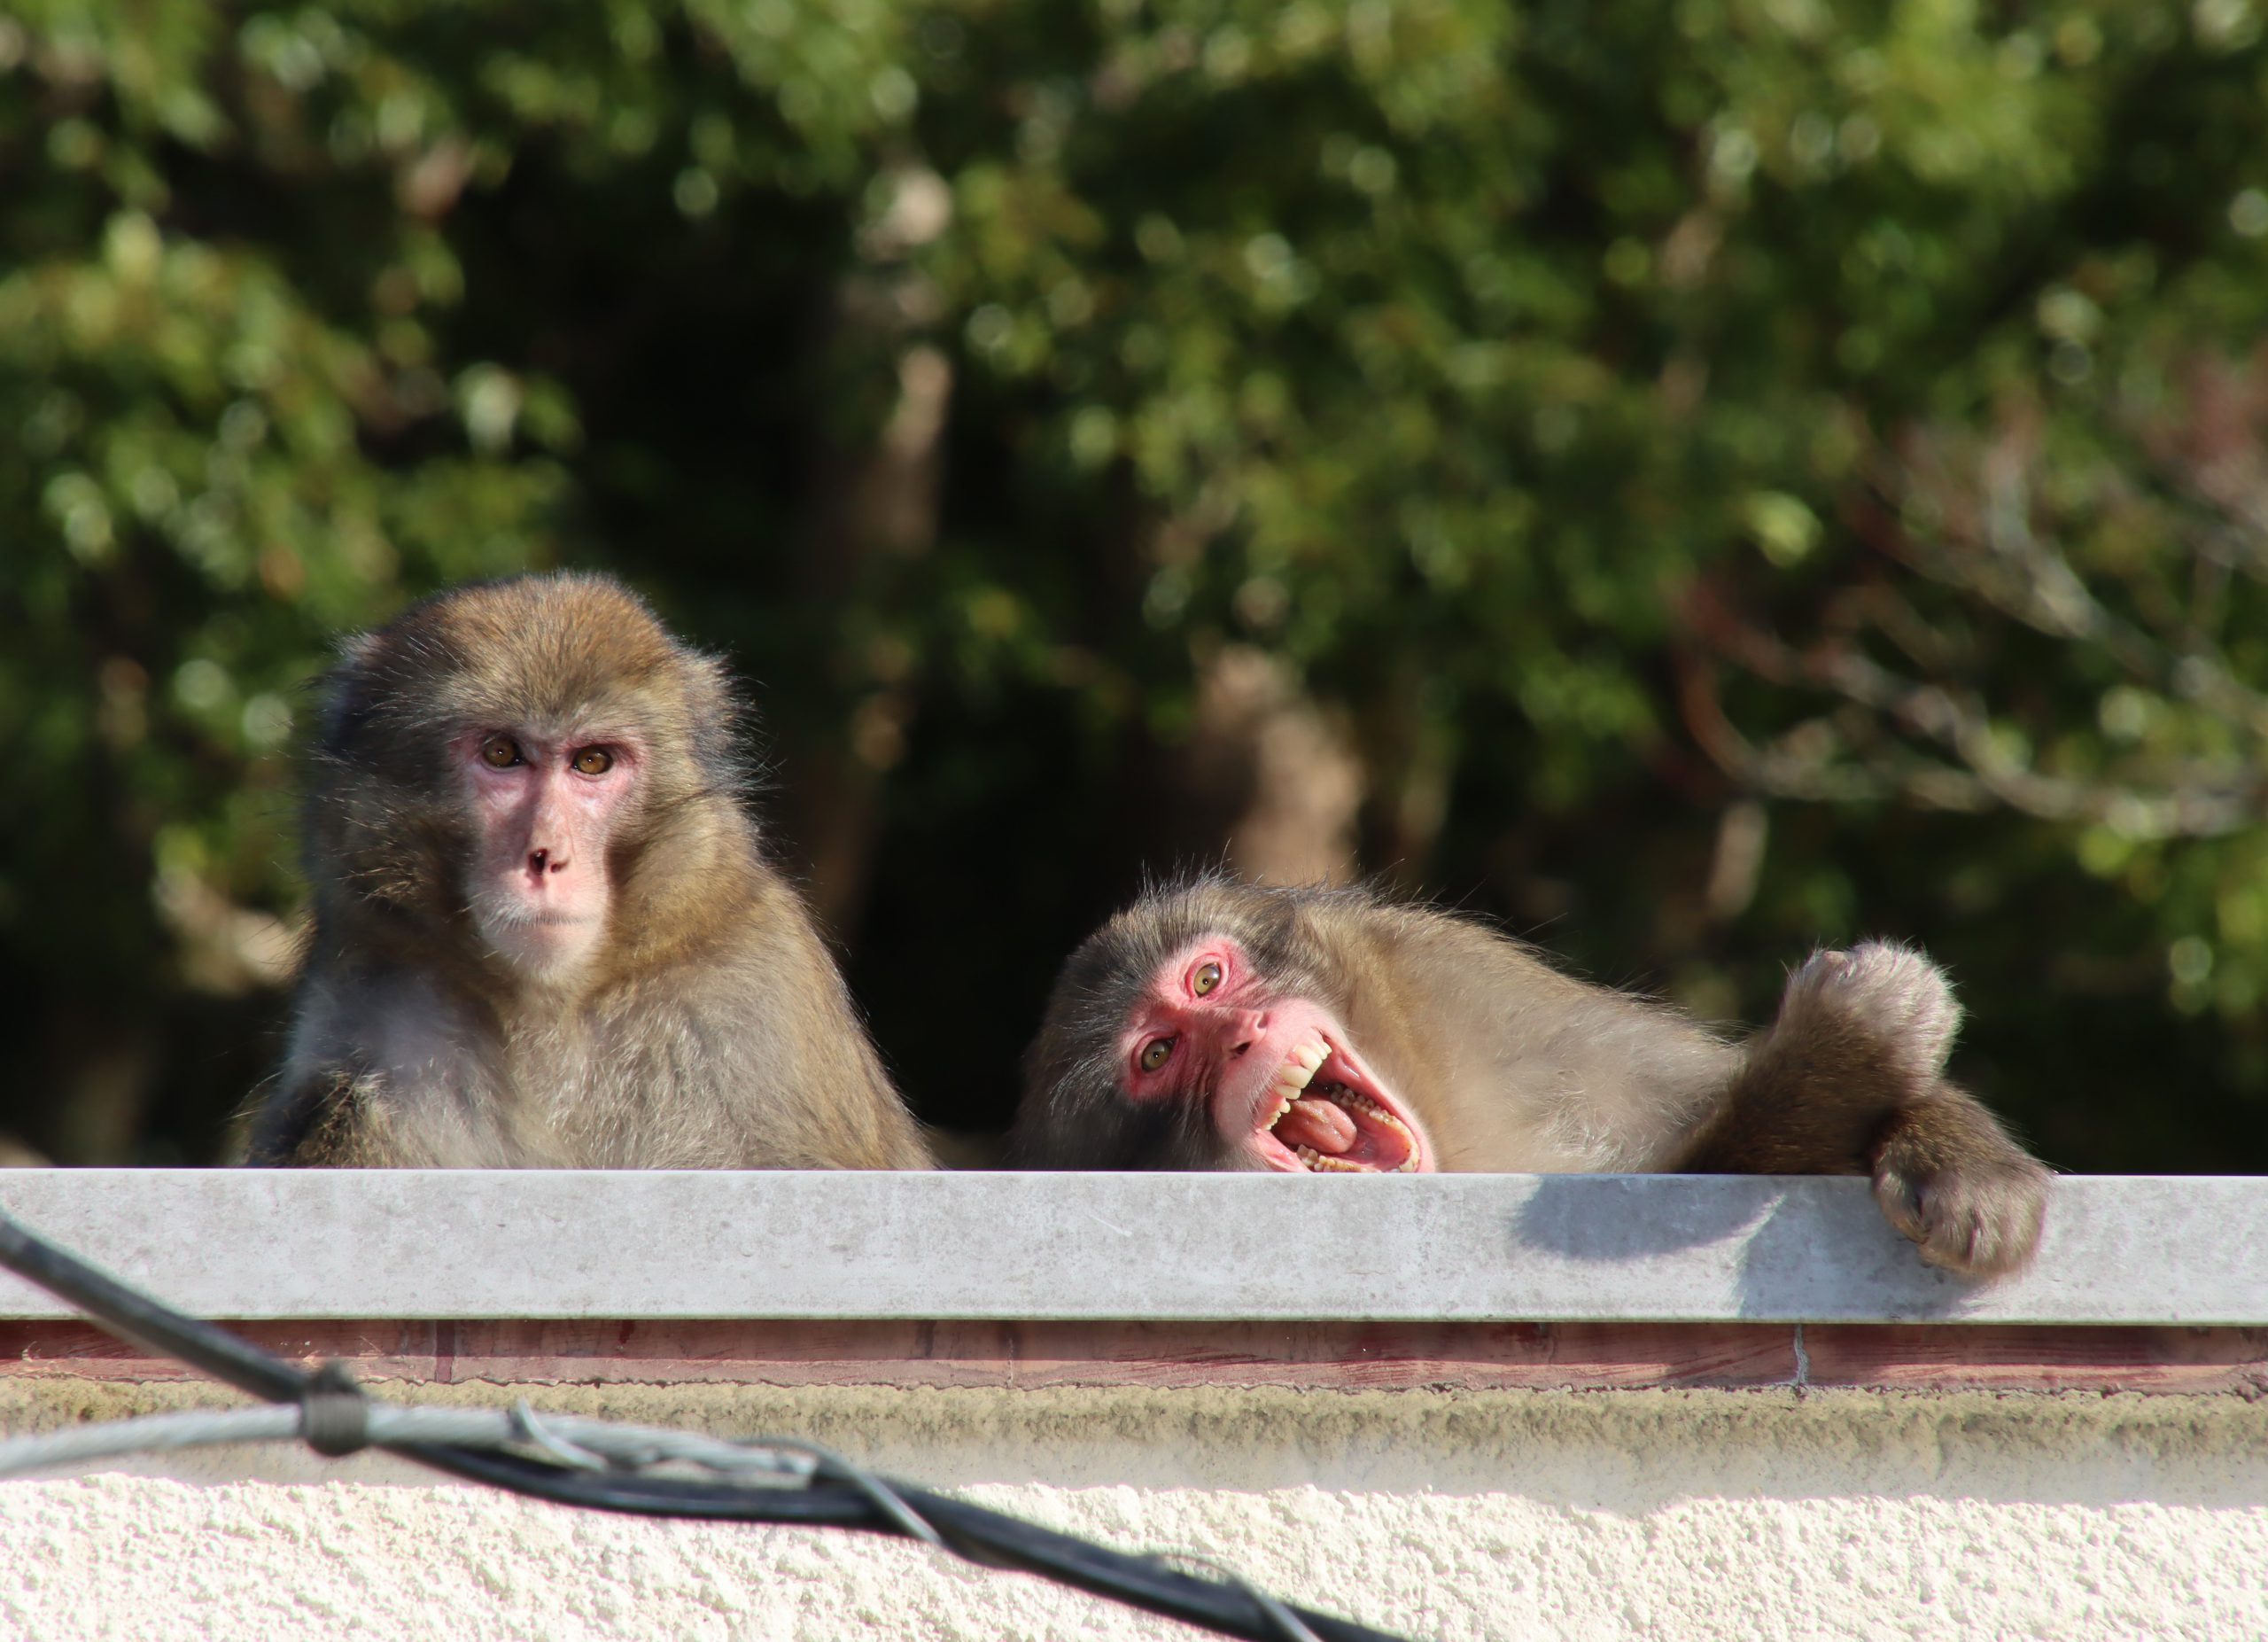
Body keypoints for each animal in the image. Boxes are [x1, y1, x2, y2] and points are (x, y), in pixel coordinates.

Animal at [241, 573, 929, 1170]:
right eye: (503, 754)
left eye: (593, 761)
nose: (547, 857)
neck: (553, 1008)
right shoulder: (365, 1012)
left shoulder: (759, 997)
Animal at [1021, 880, 2050, 1279]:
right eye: (1158, 1055)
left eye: (1207, 979)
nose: (1237, 1037)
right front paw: (1839, 1057)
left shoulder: (1473, 996)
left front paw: (1959, 1157)